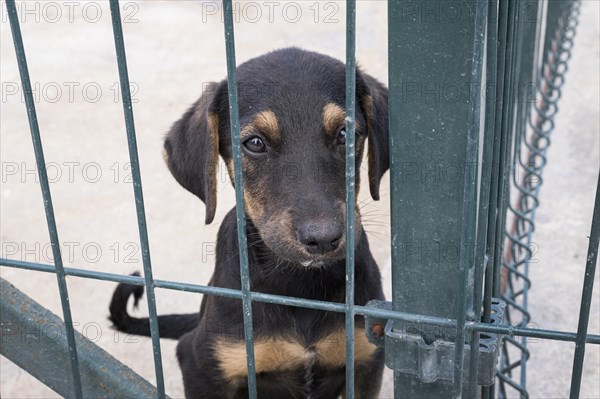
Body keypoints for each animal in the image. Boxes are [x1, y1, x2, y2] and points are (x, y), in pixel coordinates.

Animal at [109, 47, 390, 399]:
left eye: (346, 134)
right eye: (255, 143)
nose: (323, 239)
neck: (298, 286)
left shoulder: (366, 360)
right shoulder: (202, 363)